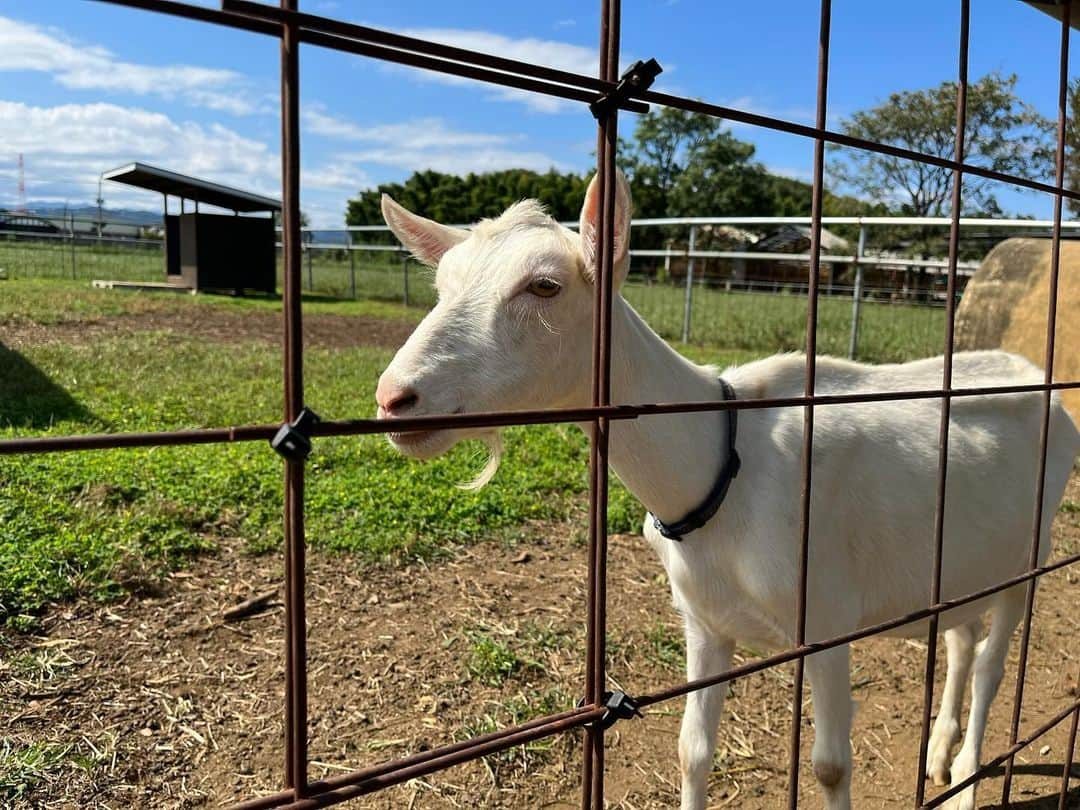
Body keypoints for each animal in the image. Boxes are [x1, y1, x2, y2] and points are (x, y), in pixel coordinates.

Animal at [373, 174, 1080, 810]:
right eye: (441, 287)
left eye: (544, 285)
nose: (393, 398)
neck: (722, 468)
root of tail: (1034, 373)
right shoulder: (705, 621)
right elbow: (692, 751)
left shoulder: (827, 620)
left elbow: (829, 766)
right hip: (964, 560)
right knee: (961, 639)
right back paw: (938, 755)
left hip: (1031, 555)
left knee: (991, 663)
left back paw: (966, 777)